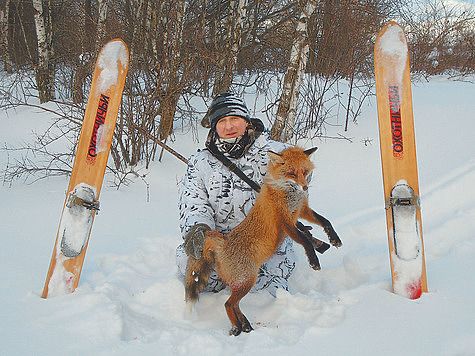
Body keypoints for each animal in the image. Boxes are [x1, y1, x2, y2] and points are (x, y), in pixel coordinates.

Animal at [184, 146, 340, 336]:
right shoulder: (285, 221)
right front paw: (314, 260)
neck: (286, 192)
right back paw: (237, 327)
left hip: (243, 282)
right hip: (248, 279)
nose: (305, 187)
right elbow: (305, 239)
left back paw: (245, 325)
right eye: (292, 173)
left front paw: (334, 239)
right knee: (228, 304)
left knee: (234, 304)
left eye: (304, 172)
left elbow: (325, 221)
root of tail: (223, 243)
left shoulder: (302, 210)